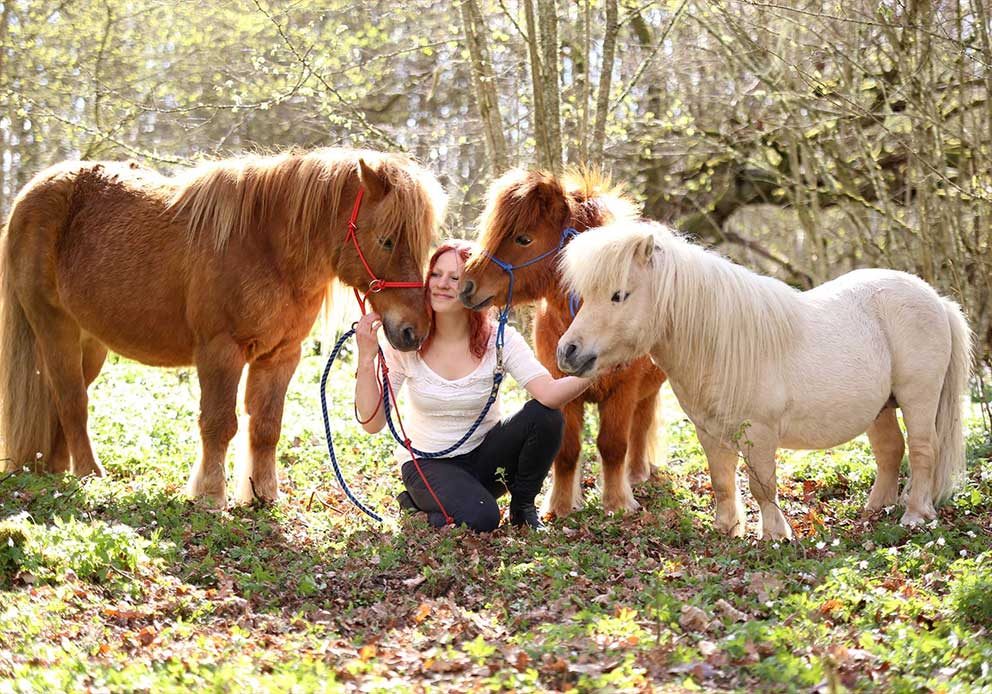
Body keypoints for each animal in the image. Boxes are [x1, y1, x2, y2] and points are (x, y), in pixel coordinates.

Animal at [1, 148, 446, 506]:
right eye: (386, 240)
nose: (415, 331)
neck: (266, 247)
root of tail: (30, 196)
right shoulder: (221, 351)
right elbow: (219, 424)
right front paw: (211, 496)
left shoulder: (280, 356)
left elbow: (266, 427)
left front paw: (262, 495)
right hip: (54, 327)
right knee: (71, 401)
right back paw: (89, 475)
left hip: (90, 343)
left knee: (60, 402)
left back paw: (55, 469)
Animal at [460, 169, 668, 516]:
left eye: (523, 238)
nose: (465, 287)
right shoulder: (559, 386)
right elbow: (568, 450)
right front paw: (560, 504)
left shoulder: (623, 389)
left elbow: (613, 445)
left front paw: (617, 502)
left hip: (647, 390)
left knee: (640, 425)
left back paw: (636, 474)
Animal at [556, 220, 972, 540]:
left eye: (619, 295)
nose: (568, 352)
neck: (717, 343)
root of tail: (936, 300)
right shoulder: (710, 431)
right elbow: (722, 480)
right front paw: (727, 529)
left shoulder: (759, 433)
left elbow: (762, 485)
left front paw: (773, 534)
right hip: (880, 408)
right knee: (890, 450)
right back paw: (875, 509)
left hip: (918, 398)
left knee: (922, 450)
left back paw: (915, 515)